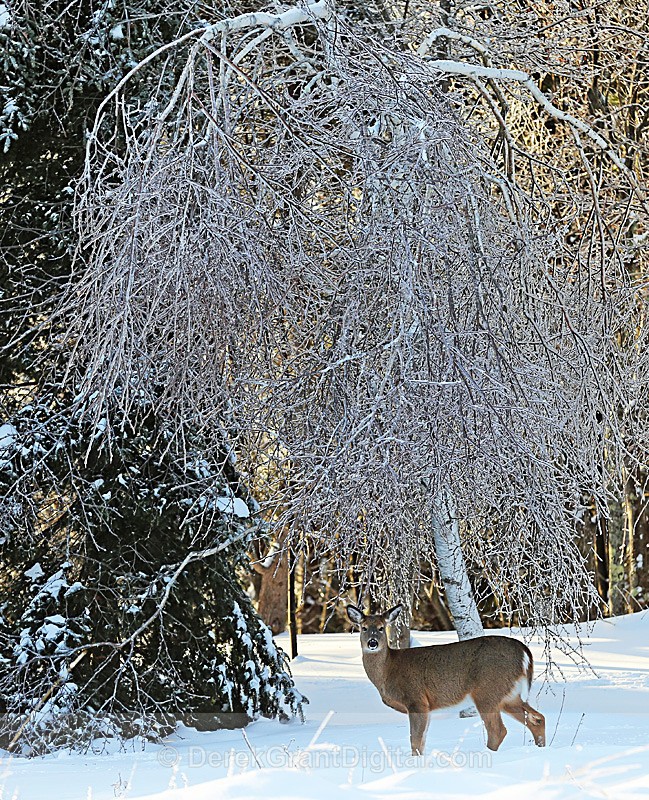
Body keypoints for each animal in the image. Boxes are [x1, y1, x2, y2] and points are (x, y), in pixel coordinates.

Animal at [346, 604, 545, 755]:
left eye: (381, 628)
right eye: (364, 628)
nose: (372, 643)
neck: (389, 670)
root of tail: (524, 652)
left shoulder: (416, 699)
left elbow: (415, 740)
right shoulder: (427, 706)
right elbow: (422, 740)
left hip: (488, 691)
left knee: (498, 730)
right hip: (509, 695)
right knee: (538, 718)